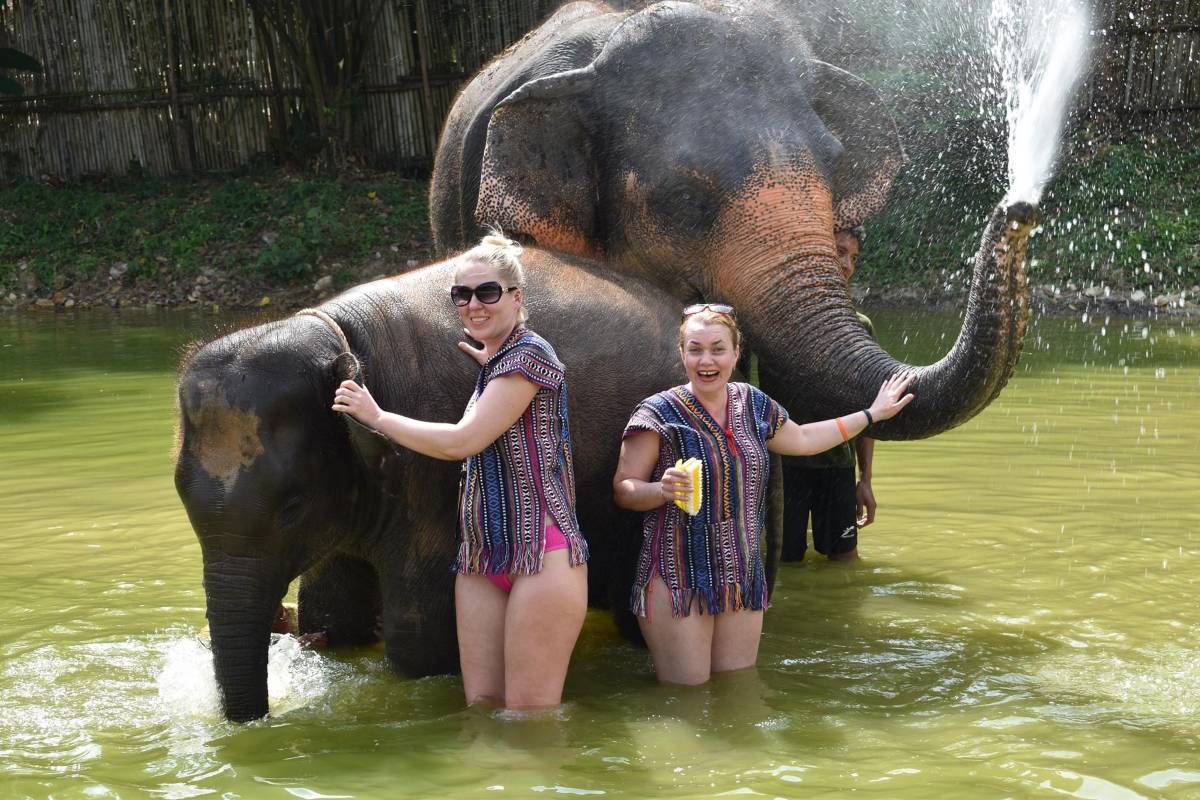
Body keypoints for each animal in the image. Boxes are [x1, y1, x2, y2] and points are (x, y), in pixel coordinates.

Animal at [174, 249, 688, 722]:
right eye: (181, 494)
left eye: (292, 506)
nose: (261, 717)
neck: (341, 337)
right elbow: (331, 615)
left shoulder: (427, 479)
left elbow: (416, 640)